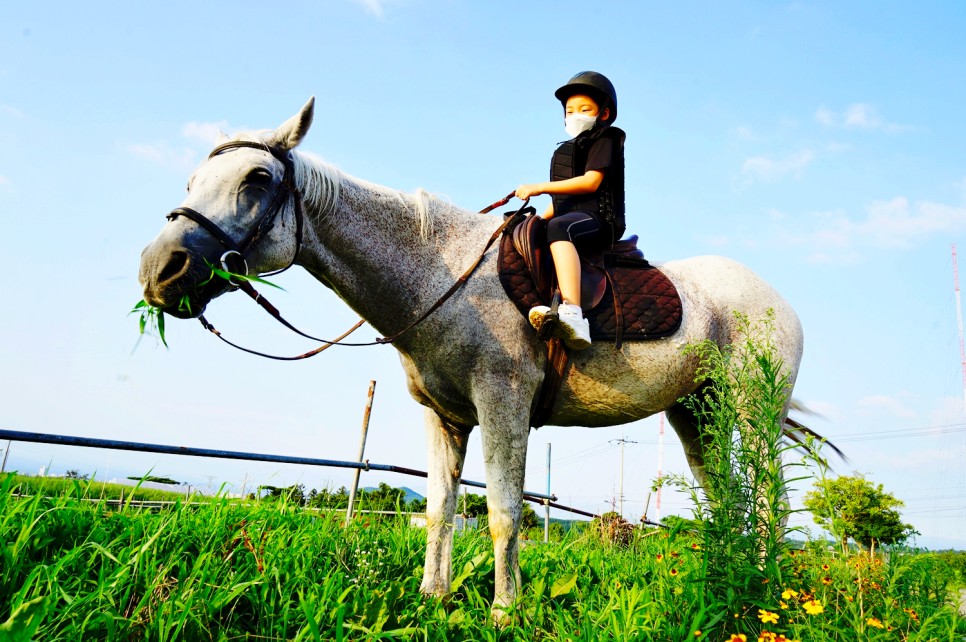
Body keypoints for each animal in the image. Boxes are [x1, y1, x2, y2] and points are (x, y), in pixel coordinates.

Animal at [134, 97, 800, 616]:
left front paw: (506, 610)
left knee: (770, 499)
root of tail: (778, 301)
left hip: (753, 412)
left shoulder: (503, 405)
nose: (160, 270)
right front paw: (434, 595)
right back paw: (725, 579)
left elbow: (504, 511)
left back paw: (764, 587)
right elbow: (440, 509)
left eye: (256, 179)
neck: (441, 276)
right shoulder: (444, 416)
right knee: (725, 499)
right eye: (192, 182)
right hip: (697, 414)